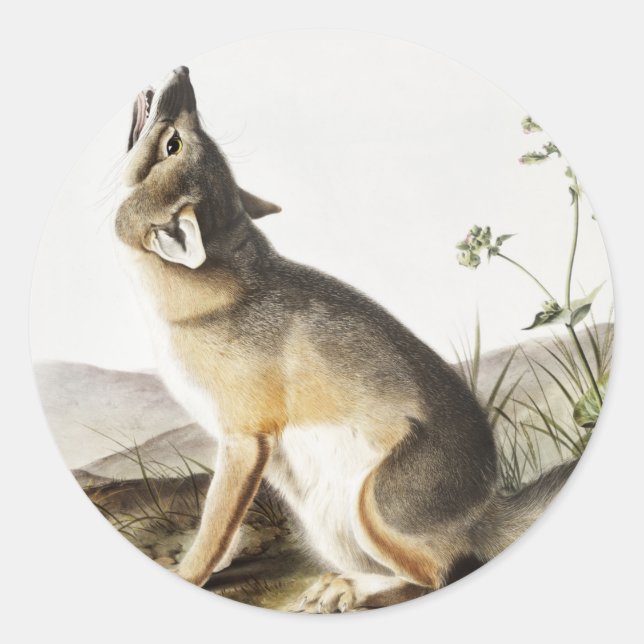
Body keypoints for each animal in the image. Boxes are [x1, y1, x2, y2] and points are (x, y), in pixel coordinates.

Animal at [114, 66, 577, 612]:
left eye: (176, 142)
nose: (183, 72)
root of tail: (487, 508)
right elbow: (223, 531)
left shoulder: (244, 442)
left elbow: (213, 525)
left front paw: (188, 575)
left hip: (370, 508)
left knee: (438, 574)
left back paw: (346, 588)